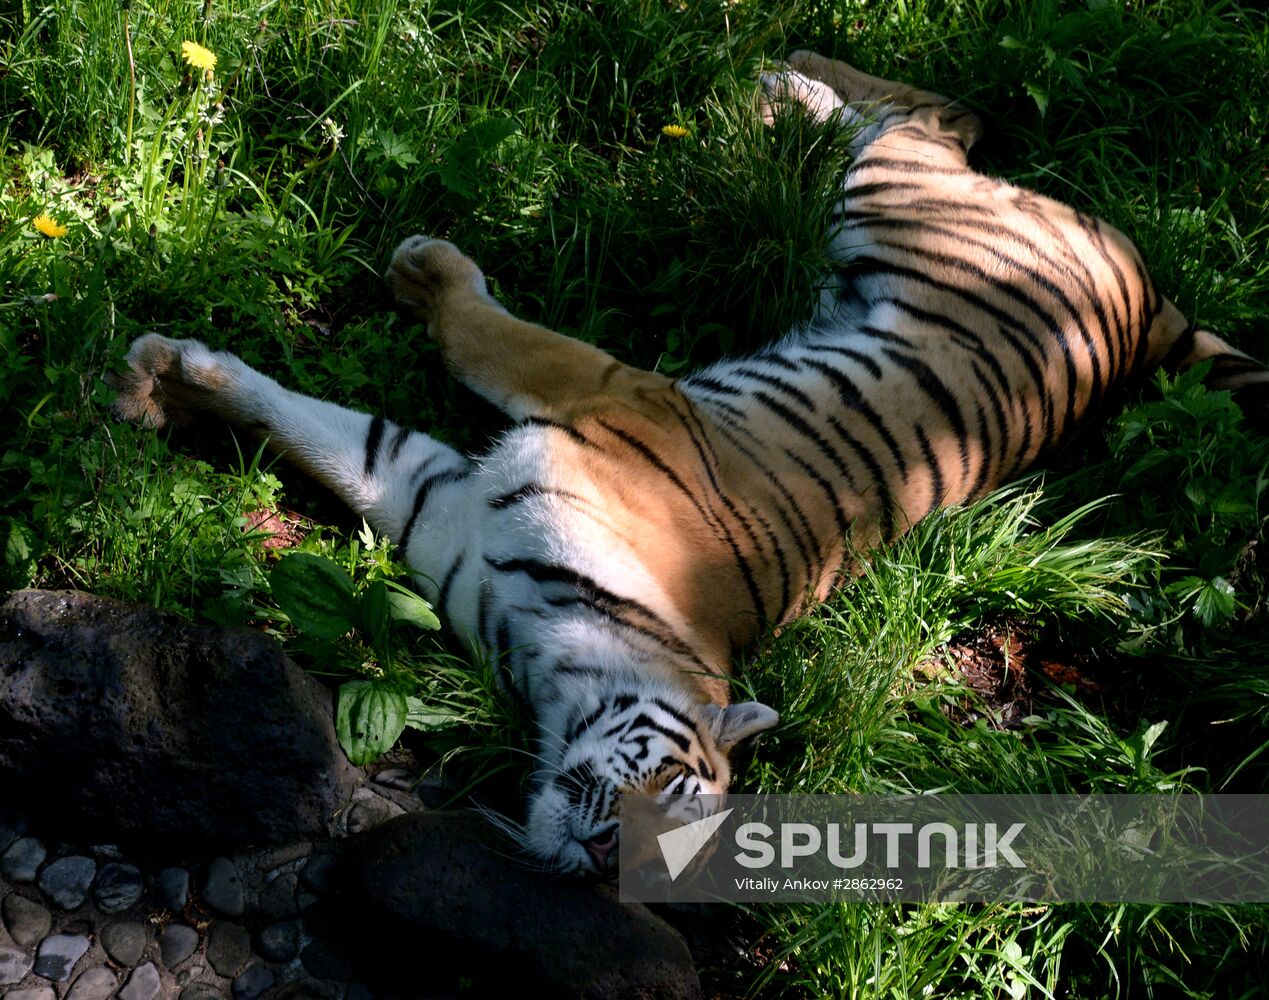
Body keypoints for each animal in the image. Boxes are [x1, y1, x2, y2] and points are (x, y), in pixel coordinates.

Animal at [114, 48, 1263, 873]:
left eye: (668, 840)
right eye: (670, 784)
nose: (597, 851)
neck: (552, 646)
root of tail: (1149, 307)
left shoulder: (427, 492)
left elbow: (321, 422)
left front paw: (175, 376)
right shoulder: (598, 392)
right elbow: (479, 332)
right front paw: (409, 273)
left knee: (932, 117)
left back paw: (776, 83)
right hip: (897, 205)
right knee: (932, 111)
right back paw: (782, 70)